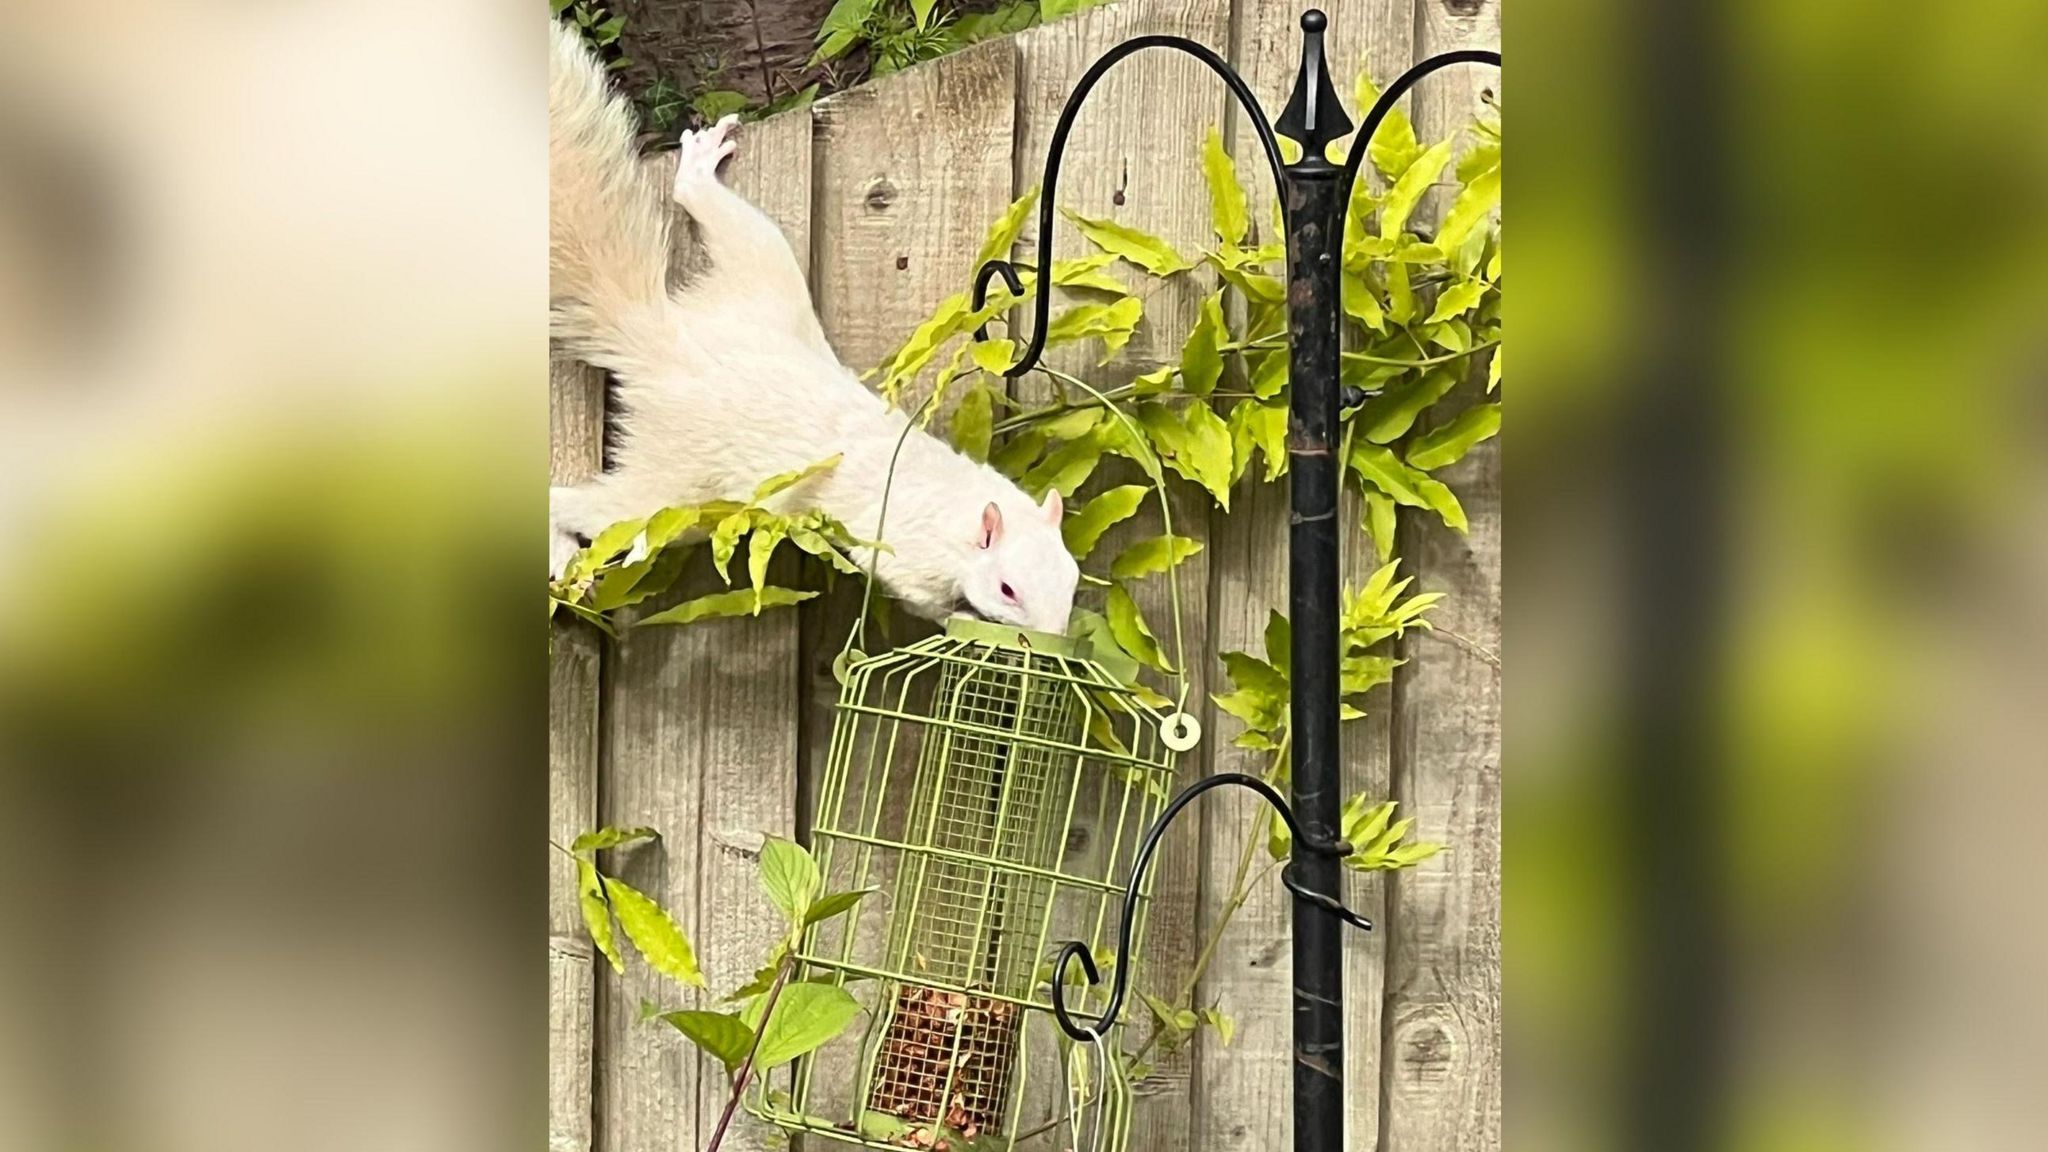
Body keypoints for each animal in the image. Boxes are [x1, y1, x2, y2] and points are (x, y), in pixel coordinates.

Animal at [544, 22, 1089, 631]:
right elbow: (923, 601)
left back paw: (699, 169)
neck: (954, 507)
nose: (1056, 637)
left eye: (1071, 580)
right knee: (589, 505)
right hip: (676, 482)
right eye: (1006, 589)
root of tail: (667, 344)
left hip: (764, 267)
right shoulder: (908, 558)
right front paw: (958, 625)